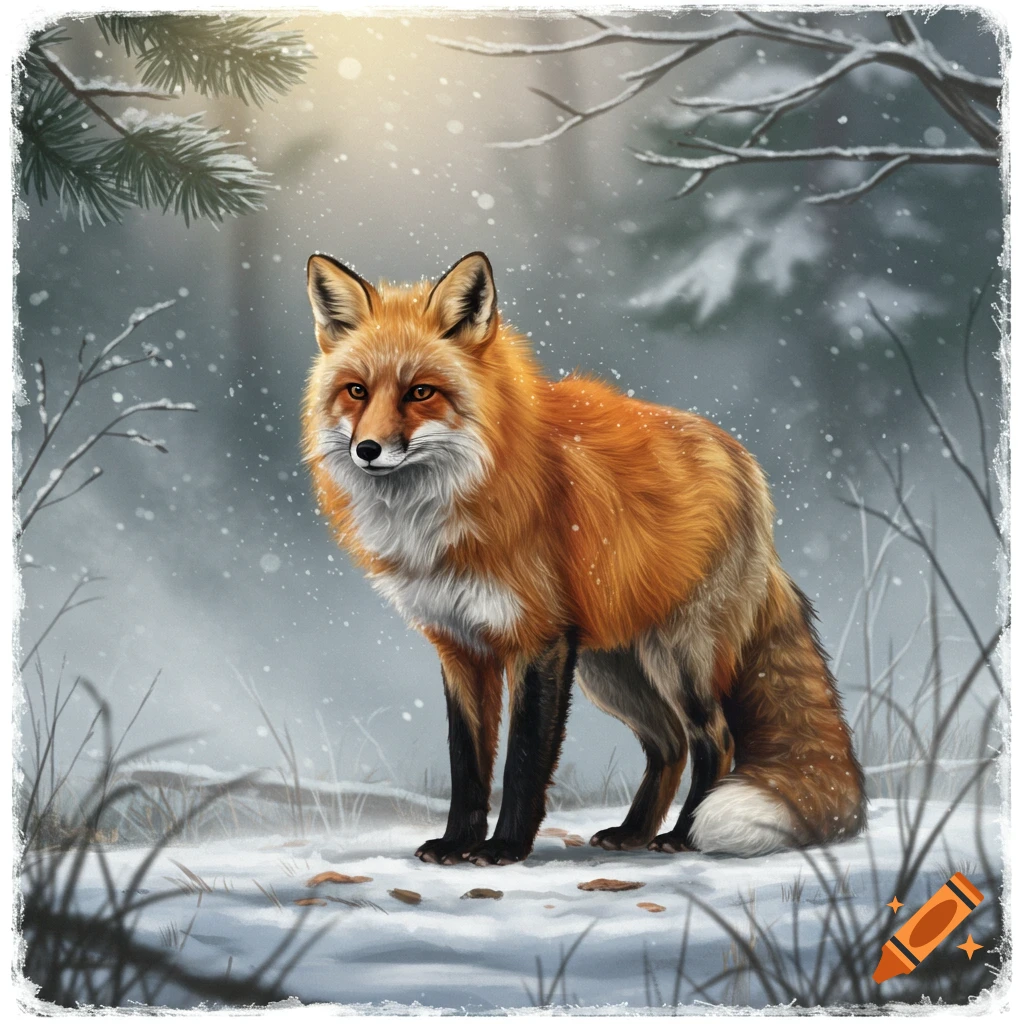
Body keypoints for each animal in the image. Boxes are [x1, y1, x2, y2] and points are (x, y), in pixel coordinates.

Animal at [301, 250, 866, 865]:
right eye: (357, 391)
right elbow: (467, 764)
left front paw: (504, 848)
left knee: (715, 739)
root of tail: (744, 463)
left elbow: (524, 761)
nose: (368, 449)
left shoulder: (539, 639)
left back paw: (682, 836)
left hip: (679, 658)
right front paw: (456, 843)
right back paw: (634, 833)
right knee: (668, 745)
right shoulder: (461, 646)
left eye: (421, 392)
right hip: (612, 668)